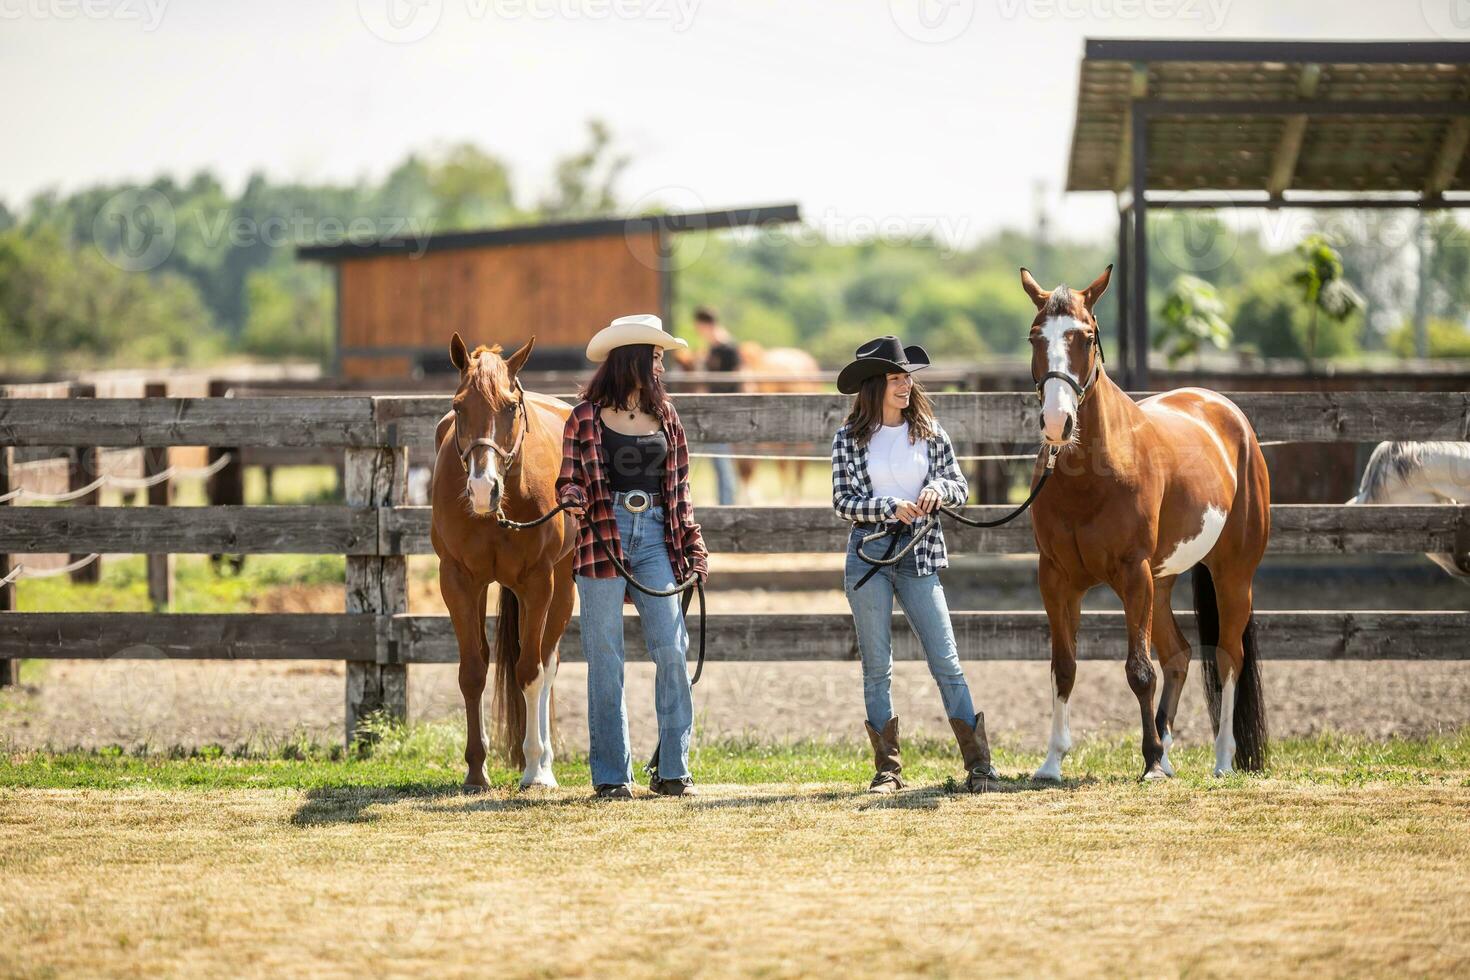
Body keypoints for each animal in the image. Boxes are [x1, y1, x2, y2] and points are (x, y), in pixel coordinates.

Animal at [429, 334, 576, 787]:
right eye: (459, 406)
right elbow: (473, 672)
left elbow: (530, 672)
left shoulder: (538, 582)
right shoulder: (458, 580)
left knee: (548, 662)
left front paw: (534, 769)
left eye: (510, 407)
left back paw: (544, 764)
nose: (482, 489)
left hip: (563, 587)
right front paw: (476, 770)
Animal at [1023, 265, 1275, 781]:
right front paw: (1052, 761)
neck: (1091, 476)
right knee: (1179, 654)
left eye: (1086, 336)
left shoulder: (1132, 573)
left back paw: (1221, 760)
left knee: (1229, 657)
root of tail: (1227, 413)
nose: (1057, 422)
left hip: (1231, 576)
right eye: (1036, 336)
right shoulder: (1056, 579)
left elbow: (1139, 671)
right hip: (1161, 583)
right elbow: (1064, 667)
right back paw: (1170, 750)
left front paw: (1152, 762)